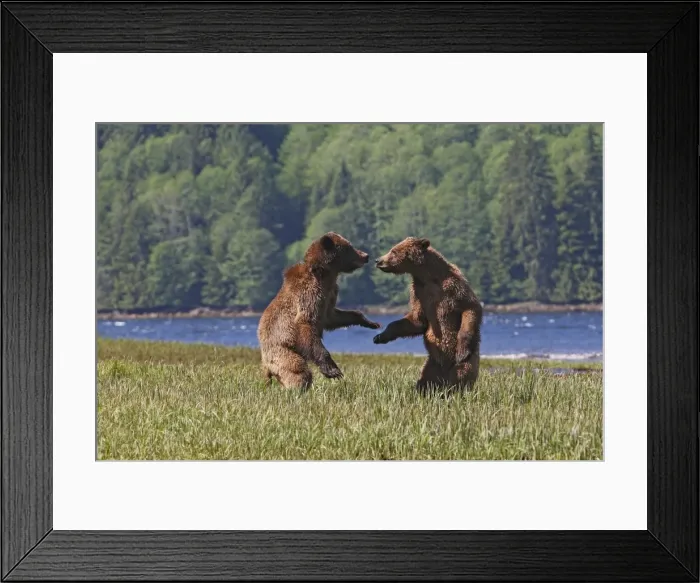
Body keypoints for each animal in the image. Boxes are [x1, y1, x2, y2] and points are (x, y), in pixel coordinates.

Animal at [257, 232, 381, 390]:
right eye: (348, 247)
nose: (366, 255)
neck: (325, 277)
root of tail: (265, 365)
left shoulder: (329, 297)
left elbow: (333, 317)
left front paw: (371, 323)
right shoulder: (308, 295)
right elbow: (306, 325)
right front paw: (333, 371)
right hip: (283, 352)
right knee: (299, 371)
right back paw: (297, 389)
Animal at [373, 237, 483, 394]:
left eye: (393, 251)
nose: (378, 260)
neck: (428, 276)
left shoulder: (453, 286)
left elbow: (470, 307)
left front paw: (462, 348)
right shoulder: (419, 293)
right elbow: (417, 320)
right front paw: (380, 336)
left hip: (467, 362)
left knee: (462, 374)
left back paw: (457, 390)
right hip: (431, 365)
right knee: (425, 380)